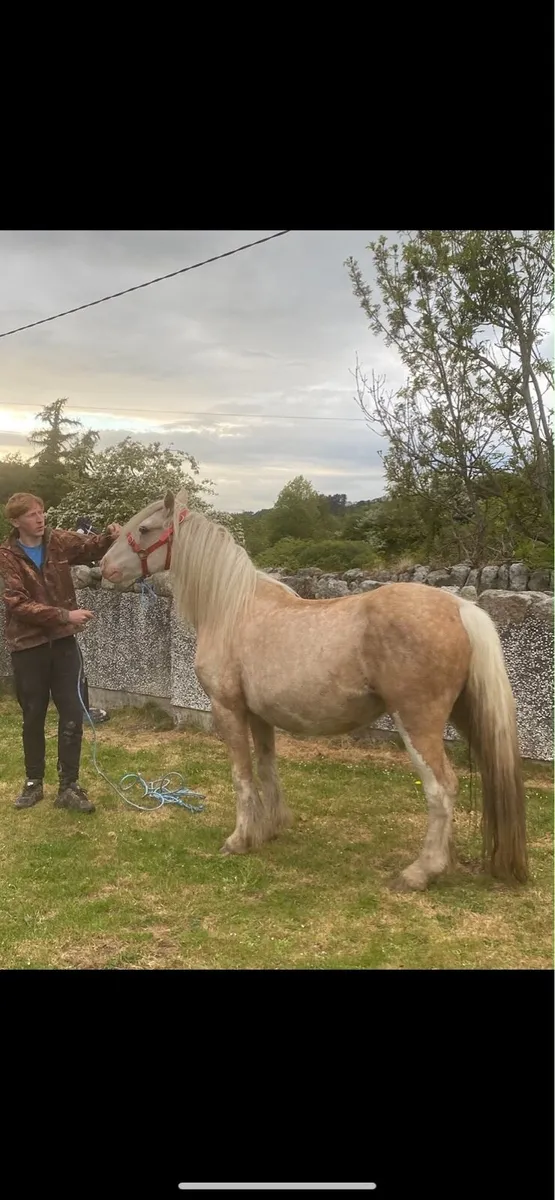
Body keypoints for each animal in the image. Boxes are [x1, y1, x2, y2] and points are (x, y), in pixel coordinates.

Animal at [99, 488, 528, 892]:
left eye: (144, 529)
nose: (104, 567)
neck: (232, 609)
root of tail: (460, 608)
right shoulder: (260, 715)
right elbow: (266, 768)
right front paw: (269, 829)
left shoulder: (228, 709)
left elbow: (241, 776)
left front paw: (239, 839)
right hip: (466, 715)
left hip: (418, 723)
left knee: (441, 789)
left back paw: (420, 872)